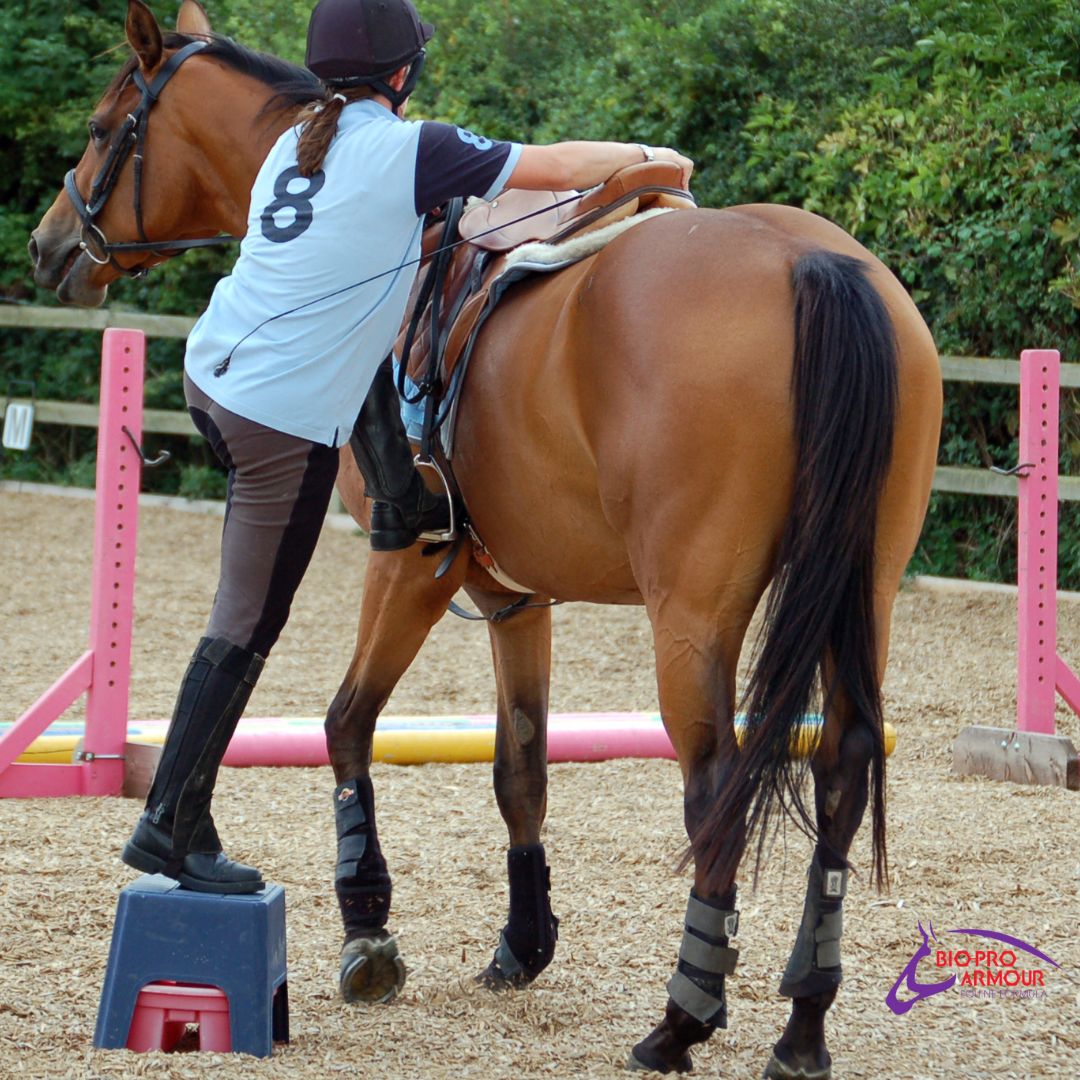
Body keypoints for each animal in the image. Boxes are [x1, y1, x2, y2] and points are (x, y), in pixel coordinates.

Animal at [30, 3, 942, 1076]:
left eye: (102, 129)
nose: (50, 247)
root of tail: (811, 261)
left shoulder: (413, 563)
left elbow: (346, 721)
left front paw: (368, 925)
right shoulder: (516, 593)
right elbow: (521, 767)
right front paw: (524, 942)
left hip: (692, 613)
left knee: (715, 784)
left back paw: (682, 1017)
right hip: (859, 592)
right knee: (841, 762)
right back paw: (802, 1023)